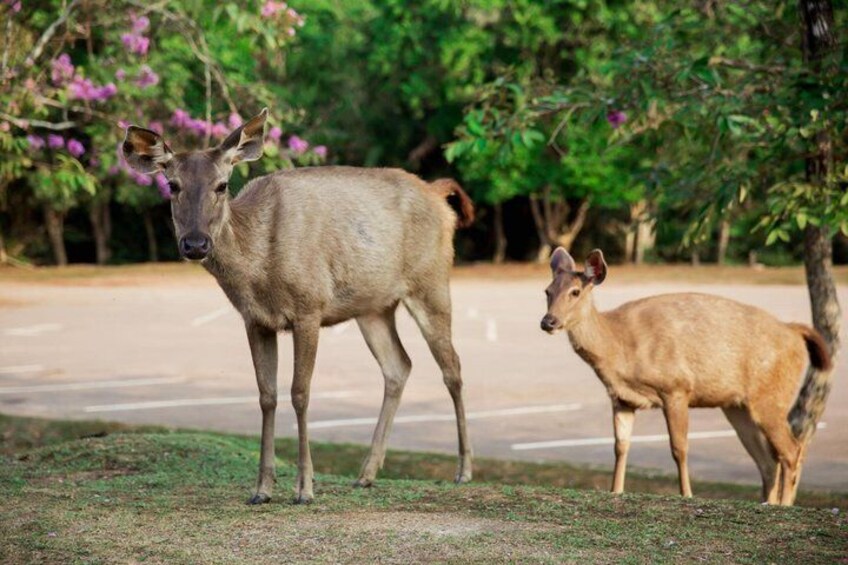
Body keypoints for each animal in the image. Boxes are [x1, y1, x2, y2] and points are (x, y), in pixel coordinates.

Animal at [121, 108, 475, 504]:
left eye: (222, 185)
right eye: (172, 185)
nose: (195, 244)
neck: (260, 268)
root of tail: (438, 194)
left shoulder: (309, 307)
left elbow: (300, 393)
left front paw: (305, 488)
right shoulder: (255, 320)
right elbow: (267, 395)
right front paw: (261, 488)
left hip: (431, 281)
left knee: (452, 367)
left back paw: (463, 470)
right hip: (373, 307)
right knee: (399, 366)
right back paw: (366, 474)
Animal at [540, 247, 832, 506]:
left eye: (575, 291)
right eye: (548, 291)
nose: (548, 321)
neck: (620, 349)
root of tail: (795, 333)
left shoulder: (676, 387)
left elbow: (679, 448)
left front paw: (687, 495)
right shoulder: (622, 399)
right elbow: (620, 447)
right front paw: (616, 491)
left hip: (771, 396)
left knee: (791, 450)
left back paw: (784, 505)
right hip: (737, 406)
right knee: (768, 461)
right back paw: (768, 503)